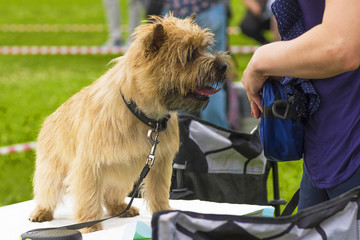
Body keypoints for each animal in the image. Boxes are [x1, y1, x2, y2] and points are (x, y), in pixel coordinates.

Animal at [30, 13, 228, 232]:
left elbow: (159, 191)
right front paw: (90, 226)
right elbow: (89, 197)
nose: (223, 66)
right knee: (47, 192)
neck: (144, 114)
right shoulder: (89, 166)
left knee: (110, 195)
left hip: (123, 177)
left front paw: (165, 214)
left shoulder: (159, 163)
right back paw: (42, 212)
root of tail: (48, 119)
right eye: (189, 54)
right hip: (53, 172)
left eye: (204, 48)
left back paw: (121, 208)